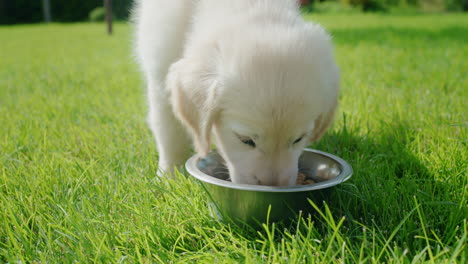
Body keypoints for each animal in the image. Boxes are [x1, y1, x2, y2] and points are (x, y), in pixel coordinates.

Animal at [133, 0, 338, 187]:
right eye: (245, 140)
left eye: (298, 139)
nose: (271, 185)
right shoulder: (160, 72)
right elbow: (169, 133)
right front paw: (168, 177)